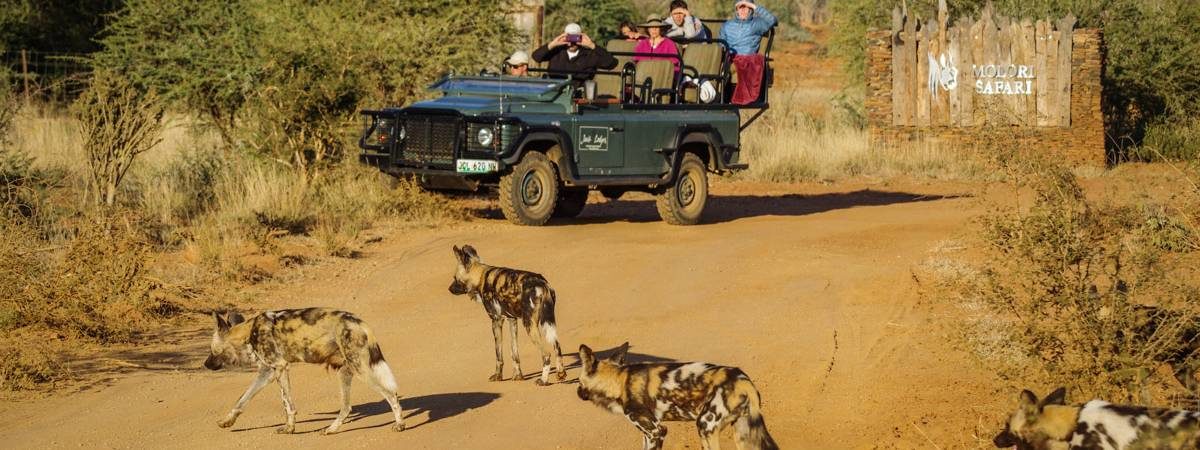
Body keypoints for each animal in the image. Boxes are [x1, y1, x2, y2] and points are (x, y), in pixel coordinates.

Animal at [206, 309, 408, 434]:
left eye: (211, 350)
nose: (205, 364)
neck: (247, 332)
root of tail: (360, 322)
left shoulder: (279, 368)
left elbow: (287, 404)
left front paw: (289, 429)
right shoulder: (269, 373)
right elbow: (243, 399)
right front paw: (227, 421)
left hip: (361, 370)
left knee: (391, 395)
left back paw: (400, 424)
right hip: (345, 372)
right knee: (346, 407)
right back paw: (331, 429)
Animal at [448, 244, 564, 386]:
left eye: (455, 278)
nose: (449, 289)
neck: (480, 278)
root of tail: (542, 284)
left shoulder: (496, 321)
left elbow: (498, 355)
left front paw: (498, 376)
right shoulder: (511, 320)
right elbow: (514, 353)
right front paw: (518, 376)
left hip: (529, 325)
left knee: (546, 354)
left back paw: (543, 380)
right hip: (547, 322)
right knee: (557, 347)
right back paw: (561, 374)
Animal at [578, 343, 782, 448]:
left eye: (578, 382)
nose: (578, 392)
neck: (619, 380)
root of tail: (743, 380)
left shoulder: (656, 431)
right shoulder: (647, 434)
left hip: (705, 426)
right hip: (742, 432)